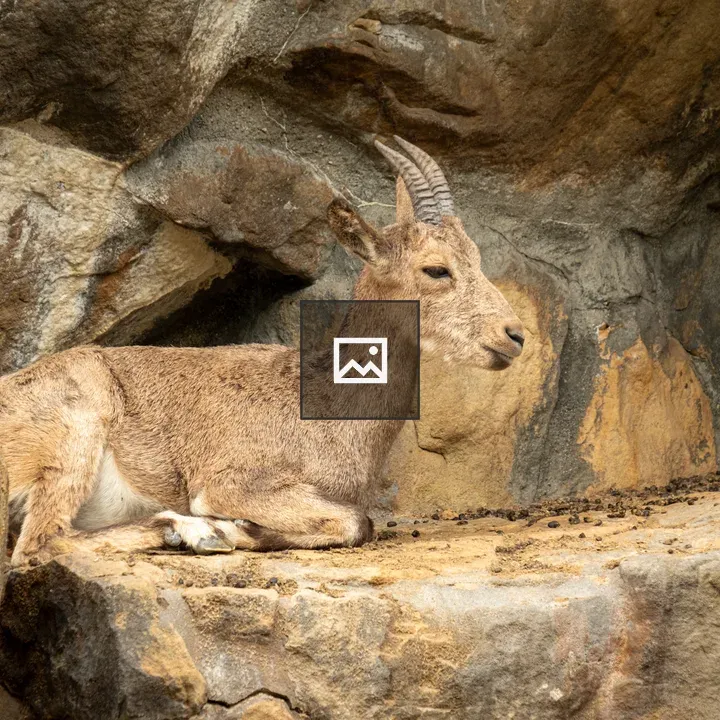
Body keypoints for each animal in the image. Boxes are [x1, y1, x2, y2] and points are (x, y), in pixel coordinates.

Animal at [0, 137, 524, 566]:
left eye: (476, 257)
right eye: (436, 269)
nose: (514, 334)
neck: (326, 408)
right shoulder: (232, 481)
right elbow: (356, 522)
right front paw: (233, 528)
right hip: (77, 429)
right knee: (38, 544)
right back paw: (192, 531)